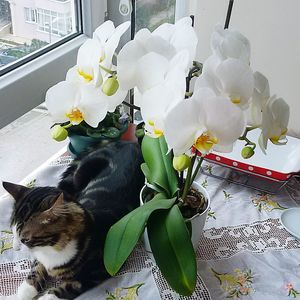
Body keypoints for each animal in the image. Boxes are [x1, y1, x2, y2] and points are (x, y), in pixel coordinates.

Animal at [3, 141, 144, 300]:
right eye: (14, 233)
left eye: (26, 239)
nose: (16, 247)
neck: (52, 250)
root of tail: (128, 143)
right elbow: (36, 267)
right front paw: (23, 292)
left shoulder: (102, 267)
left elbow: (70, 287)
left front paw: (48, 296)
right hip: (77, 177)